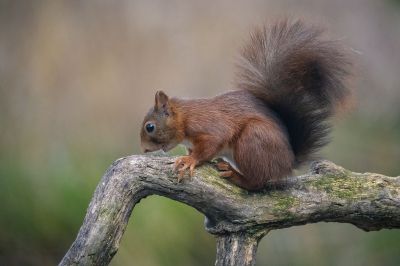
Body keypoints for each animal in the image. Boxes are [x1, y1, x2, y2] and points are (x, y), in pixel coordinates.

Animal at [140, 20, 350, 191]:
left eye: (150, 127)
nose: (143, 149)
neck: (185, 118)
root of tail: (289, 161)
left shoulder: (208, 127)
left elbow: (209, 146)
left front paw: (189, 160)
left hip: (252, 140)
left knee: (256, 182)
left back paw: (235, 175)